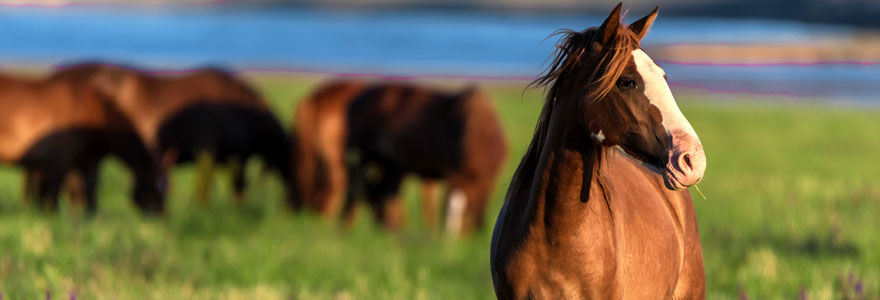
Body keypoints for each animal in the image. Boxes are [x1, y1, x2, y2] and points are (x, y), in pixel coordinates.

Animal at [0, 68, 165, 213]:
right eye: (157, 182)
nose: (158, 213)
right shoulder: (60, 161)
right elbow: (55, 193)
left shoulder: (87, 160)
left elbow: (87, 190)